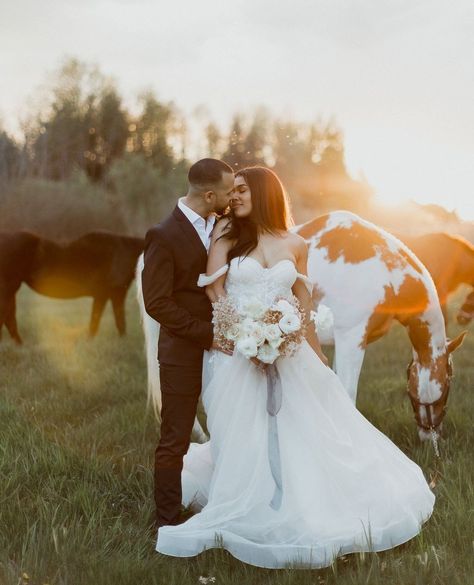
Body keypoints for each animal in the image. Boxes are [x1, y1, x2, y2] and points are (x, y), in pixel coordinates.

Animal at [0, 230, 144, 342]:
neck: (127, 251)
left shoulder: (106, 295)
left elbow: (100, 321)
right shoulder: (113, 293)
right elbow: (114, 321)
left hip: (11, 290)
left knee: (9, 318)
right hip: (9, 289)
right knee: (7, 316)